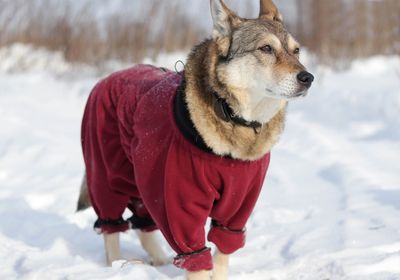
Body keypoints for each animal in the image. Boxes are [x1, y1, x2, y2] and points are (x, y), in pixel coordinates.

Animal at [76, 1, 314, 278]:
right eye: (266, 48)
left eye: (296, 51)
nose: (308, 78)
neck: (234, 119)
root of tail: (107, 78)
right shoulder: (180, 203)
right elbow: (196, 258)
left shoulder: (238, 207)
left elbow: (222, 253)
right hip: (107, 177)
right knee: (111, 229)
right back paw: (115, 268)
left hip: (145, 181)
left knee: (143, 226)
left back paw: (160, 262)